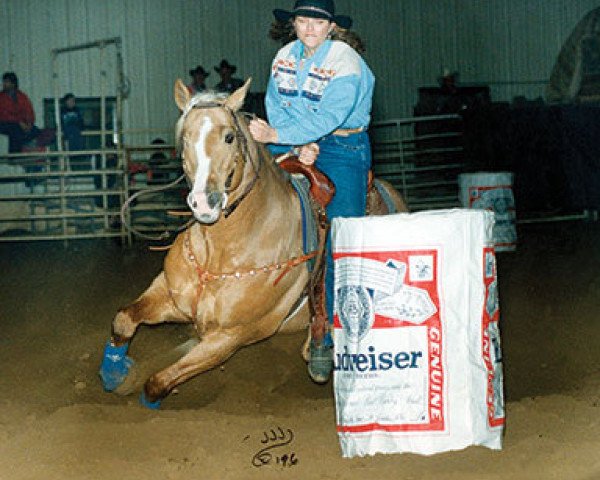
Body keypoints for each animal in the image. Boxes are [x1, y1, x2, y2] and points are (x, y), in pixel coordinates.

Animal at [99, 79, 408, 408]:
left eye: (229, 137)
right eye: (185, 138)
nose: (203, 203)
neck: (222, 251)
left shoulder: (231, 336)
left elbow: (158, 382)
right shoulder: (170, 297)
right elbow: (123, 320)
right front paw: (116, 374)